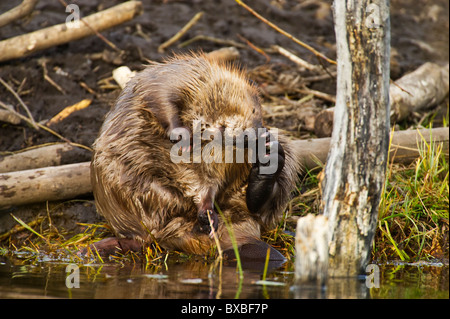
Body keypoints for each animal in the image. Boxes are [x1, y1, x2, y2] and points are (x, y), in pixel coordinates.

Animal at [88, 53, 298, 262]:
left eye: (260, 117)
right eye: (254, 111)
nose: (251, 138)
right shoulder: (170, 80)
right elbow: (161, 101)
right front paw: (182, 136)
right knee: (144, 232)